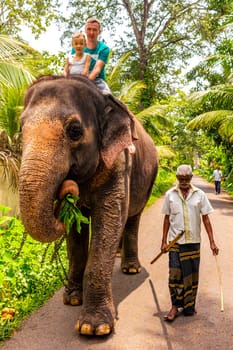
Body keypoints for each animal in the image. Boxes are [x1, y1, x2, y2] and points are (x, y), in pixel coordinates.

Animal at [19, 76, 158, 336]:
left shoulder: (120, 161)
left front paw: (94, 327)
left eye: (74, 130)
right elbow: (76, 230)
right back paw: (118, 254)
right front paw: (72, 299)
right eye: (20, 129)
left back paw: (131, 268)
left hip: (148, 180)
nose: (65, 189)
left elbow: (110, 216)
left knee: (132, 217)